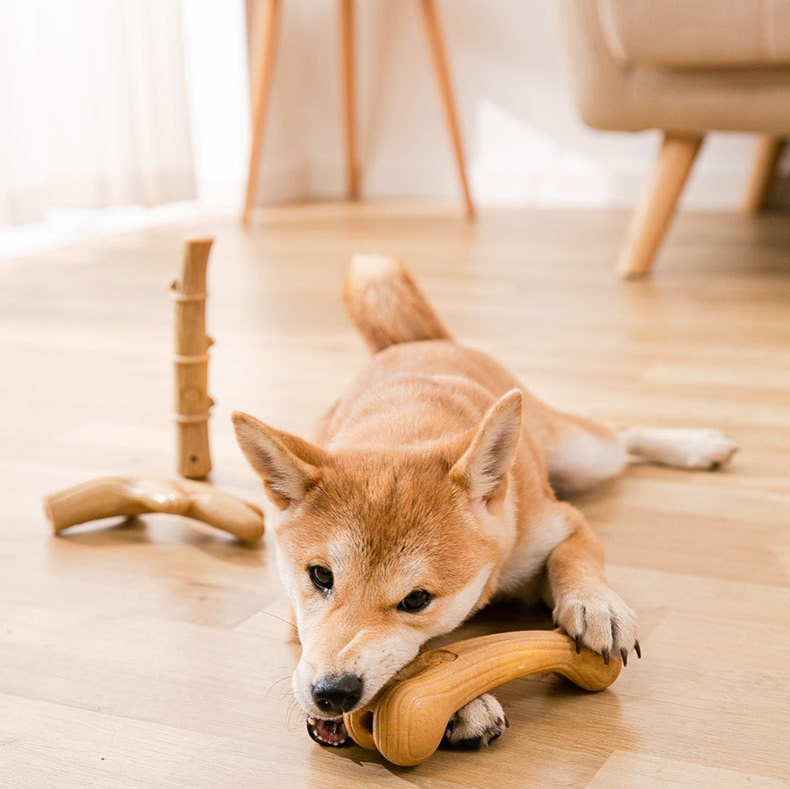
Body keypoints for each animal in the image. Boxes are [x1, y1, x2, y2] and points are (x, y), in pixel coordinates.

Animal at [232, 255, 740, 748]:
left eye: (417, 600)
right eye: (320, 576)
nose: (333, 693)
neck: (409, 424)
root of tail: (419, 342)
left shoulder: (563, 521)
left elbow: (573, 557)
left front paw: (597, 605)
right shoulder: (296, 619)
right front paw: (464, 704)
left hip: (584, 456)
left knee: (621, 432)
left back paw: (698, 446)